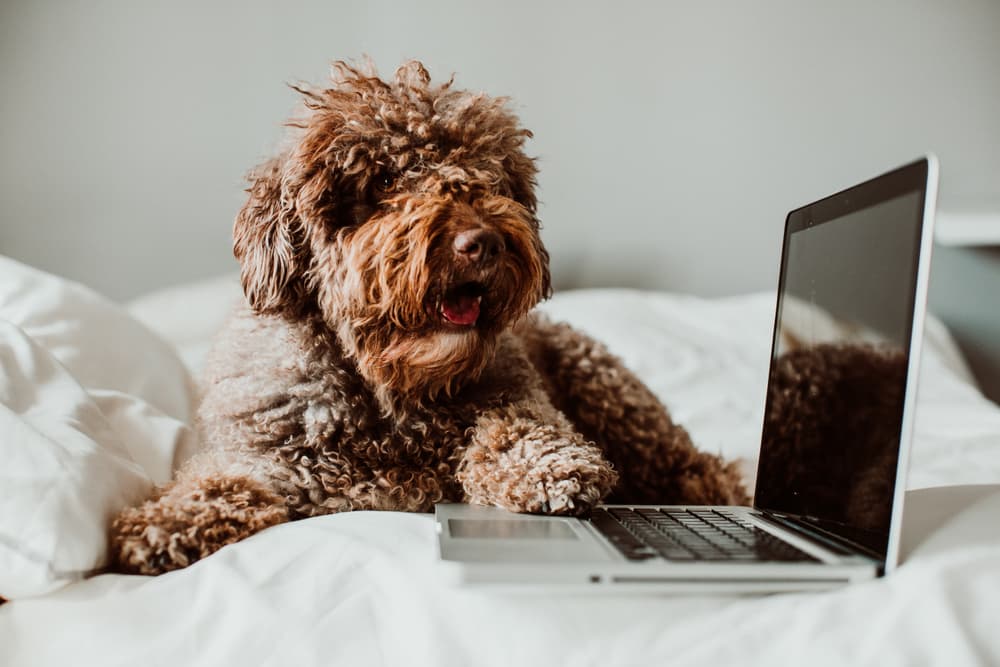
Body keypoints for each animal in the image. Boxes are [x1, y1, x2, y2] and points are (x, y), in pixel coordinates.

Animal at [111, 60, 752, 576]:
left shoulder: (517, 398)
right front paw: (164, 523)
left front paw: (548, 469)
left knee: (700, 468)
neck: (393, 394)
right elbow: (218, 483)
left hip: (613, 398)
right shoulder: (270, 464)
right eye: (382, 180)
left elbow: (516, 428)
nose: (483, 242)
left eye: (489, 176)